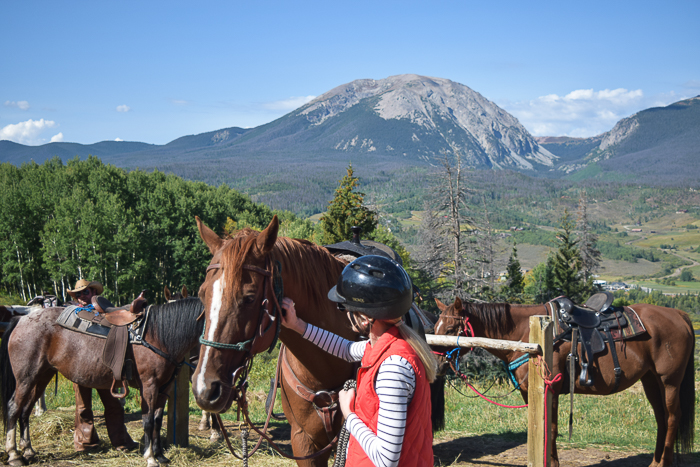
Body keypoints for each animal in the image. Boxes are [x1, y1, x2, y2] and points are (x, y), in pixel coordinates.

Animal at [1, 298, 205, 466]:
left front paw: (160, 456)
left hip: (42, 376)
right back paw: (13, 455)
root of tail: (23, 319)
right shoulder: (149, 386)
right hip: (26, 377)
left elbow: (157, 421)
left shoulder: (164, 388)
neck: (158, 336)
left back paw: (28, 451)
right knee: (14, 408)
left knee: (25, 411)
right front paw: (150, 458)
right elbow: (147, 422)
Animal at [432, 298, 696, 467]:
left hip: (669, 381)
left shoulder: (552, 388)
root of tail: (679, 315)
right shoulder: (531, 392)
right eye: (436, 326)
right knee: (661, 418)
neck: (525, 334)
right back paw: (655, 461)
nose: (437, 364)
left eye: (451, 328)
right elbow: (540, 427)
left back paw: (663, 463)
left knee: (672, 417)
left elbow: (550, 428)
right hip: (651, 380)